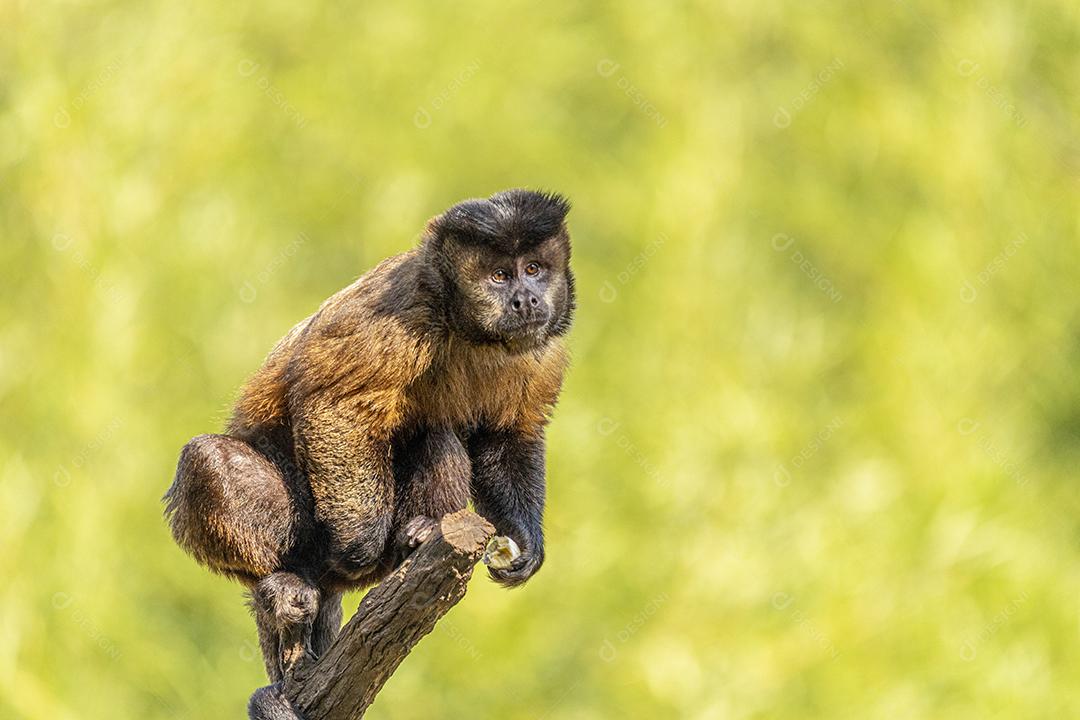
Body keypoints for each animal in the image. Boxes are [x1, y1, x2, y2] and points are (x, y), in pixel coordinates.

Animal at [163, 189, 574, 683]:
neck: (468, 332)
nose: (526, 299)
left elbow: (507, 438)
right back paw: (282, 581)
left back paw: (417, 534)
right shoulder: (399, 312)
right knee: (206, 458)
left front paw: (526, 542)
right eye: (499, 275)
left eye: (533, 269)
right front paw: (360, 543)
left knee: (435, 436)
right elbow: (336, 407)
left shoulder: (542, 353)